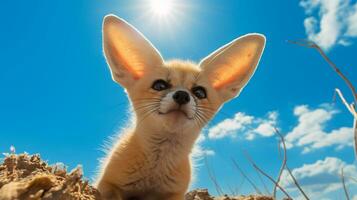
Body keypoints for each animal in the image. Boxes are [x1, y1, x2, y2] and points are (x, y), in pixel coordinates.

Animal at [96, 14, 266, 200]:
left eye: (199, 92)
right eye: (159, 85)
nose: (182, 95)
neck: (155, 170)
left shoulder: (174, 193)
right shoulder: (107, 184)